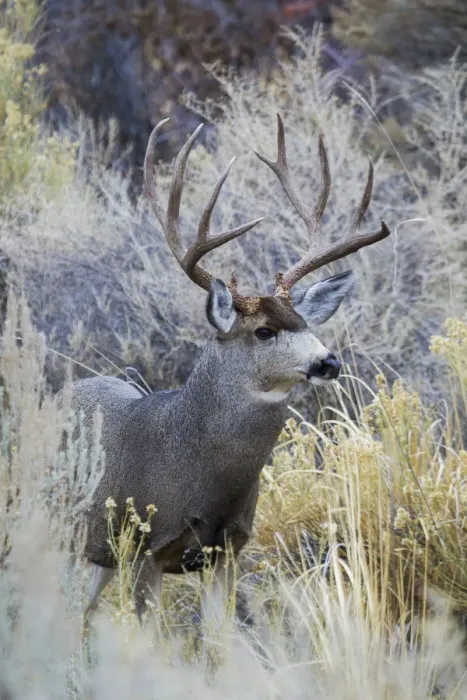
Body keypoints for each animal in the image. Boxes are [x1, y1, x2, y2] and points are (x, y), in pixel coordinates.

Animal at [69, 114, 390, 625]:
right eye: (263, 331)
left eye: (303, 322)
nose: (329, 361)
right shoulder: (143, 546)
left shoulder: (228, 549)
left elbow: (221, 638)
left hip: (98, 554)